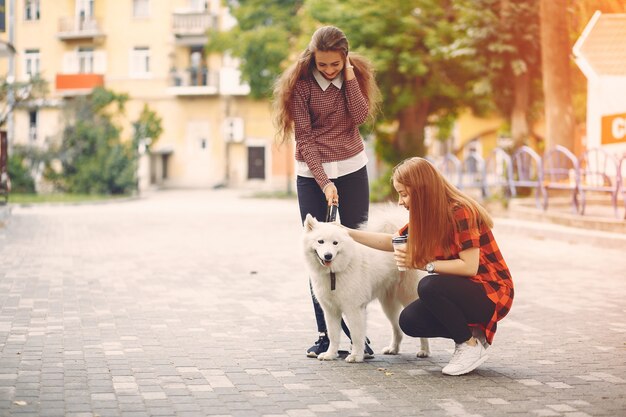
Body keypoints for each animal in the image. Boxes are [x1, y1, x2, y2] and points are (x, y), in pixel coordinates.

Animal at [302, 206, 428, 362]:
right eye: (320, 241)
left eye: (335, 243)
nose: (328, 256)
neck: (334, 273)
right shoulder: (331, 310)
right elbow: (333, 335)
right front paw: (330, 354)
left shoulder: (354, 309)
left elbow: (356, 335)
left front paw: (356, 356)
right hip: (388, 305)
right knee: (397, 328)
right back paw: (393, 349)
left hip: (409, 297)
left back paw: (424, 351)